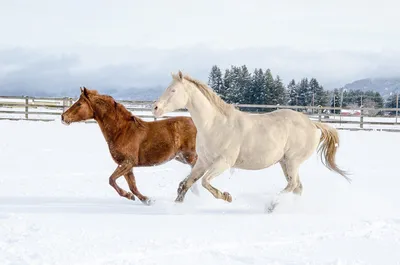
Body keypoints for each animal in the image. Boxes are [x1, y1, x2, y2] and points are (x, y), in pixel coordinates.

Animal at [61, 86, 198, 204]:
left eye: (79, 104)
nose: (63, 117)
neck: (122, 130)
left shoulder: (127, 162)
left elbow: (111, 180)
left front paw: (130, 196)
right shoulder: (127, 165)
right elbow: (132, 186)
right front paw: (146, 200)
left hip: (189, 155)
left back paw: (182, 192)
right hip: (180, 157)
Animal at [152, 69, 348, 202]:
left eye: (173, 90)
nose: (155, 108)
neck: (214, 125)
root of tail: (313, 124)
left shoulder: (224, 162)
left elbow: (205, 182)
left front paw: (226, 196)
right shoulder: (203, 161)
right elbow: (186, 184)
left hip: (293, 161)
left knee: (293, 185)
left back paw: (272, 205)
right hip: (285, 162)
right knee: (297, 187)